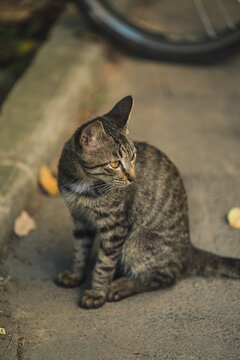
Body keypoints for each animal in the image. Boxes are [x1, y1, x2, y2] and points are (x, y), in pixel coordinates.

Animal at [57, 95, 240, 310]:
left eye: (132, 156)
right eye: (114, 164)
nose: (133, 177)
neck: (83, 184)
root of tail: (188, 251)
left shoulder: (115, 228)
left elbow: (104, 264)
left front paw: (97, 292)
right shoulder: (79, 219)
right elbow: (79, 251)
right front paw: (75, 275)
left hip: (136, 244)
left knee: (165, 278)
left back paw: (121, 286)